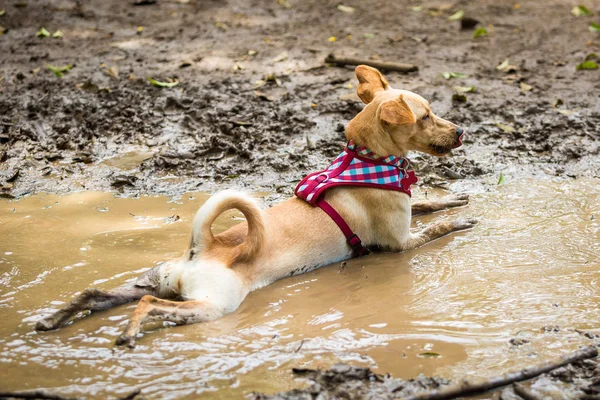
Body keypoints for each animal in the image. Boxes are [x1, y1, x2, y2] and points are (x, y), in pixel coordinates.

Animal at [36, 65, 478, 346]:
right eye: (425, 116)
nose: (461, 131)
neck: (367, 161)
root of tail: (203, 247)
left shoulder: (407, 215)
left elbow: (428, 204)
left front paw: (452, 198)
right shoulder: (400, 243)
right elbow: (436, 226)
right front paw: (461, 221)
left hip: (152, 279)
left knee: (99, 294)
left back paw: (54, 318)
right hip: (212, 305)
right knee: (152, 305)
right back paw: (128, 333)